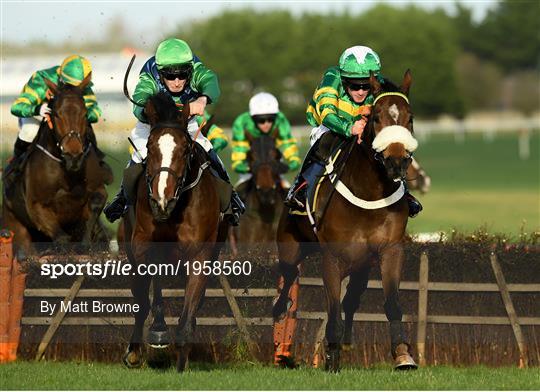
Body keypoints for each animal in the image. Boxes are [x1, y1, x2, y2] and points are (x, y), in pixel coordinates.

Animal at [1, 75, 112, 258]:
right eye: (57, 114)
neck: (67, 171)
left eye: (84, 114)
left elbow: (96, 204)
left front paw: (84, 243)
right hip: (15, 226)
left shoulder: (98, 190)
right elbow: (61, 238)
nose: (74, 156)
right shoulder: (36, 206)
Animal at [121, 90, 229, 372]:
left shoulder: (201, 254)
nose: (162, 200)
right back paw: (135, 351)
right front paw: (158, 330)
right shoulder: (143, 246)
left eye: (185, 149)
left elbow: (191, 304)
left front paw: (182, 355)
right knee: (141, 300)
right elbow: (152, 288)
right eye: (149, 147)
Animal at [274, 69, 418, 370]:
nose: (396, 161)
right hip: (291, 244)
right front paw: (331, 359)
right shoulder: (333, 257)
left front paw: (403, 355)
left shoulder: (390, 250)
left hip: (362, 263)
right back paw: (279, 311)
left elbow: (391, 304)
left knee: (351, 299)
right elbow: (332, 310)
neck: (370, 192)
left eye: (409, 118)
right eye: (376, 117)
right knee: (289, 273)